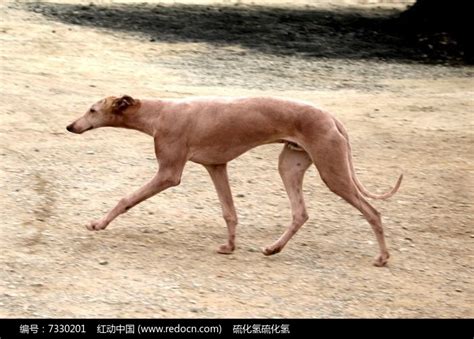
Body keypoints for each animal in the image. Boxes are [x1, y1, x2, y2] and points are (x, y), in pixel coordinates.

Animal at [66, 94, 402, 266]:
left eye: (92, 109)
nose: (70, 126)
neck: (159, 113)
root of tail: (332, 117)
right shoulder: (216, 166)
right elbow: (229, 212)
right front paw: (229, 246)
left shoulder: (169, 173)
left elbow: (125, 199)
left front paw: (98, 223)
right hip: (290, 166)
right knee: (300, 213)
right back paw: (273, 249)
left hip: (333, 173)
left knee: (373, 212)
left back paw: (383, 257)